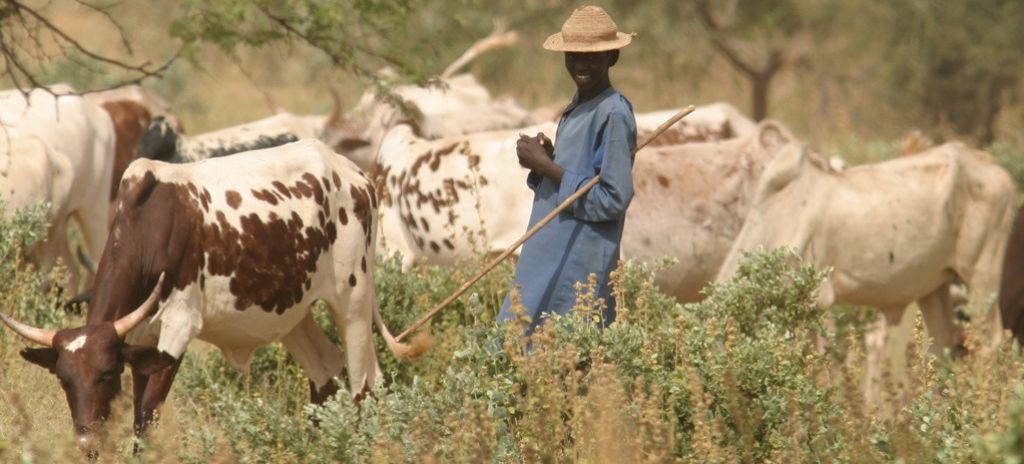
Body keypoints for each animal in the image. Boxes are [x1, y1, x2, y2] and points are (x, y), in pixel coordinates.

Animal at [0, 138, 423, 448]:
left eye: (105, 374)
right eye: (63, 379)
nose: (87, 444)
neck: (150, 227)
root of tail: (353, 173)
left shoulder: (178, 329)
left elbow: (146, 419)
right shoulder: (141, 340)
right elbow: (137, 415)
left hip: (353, 302)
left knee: (363, 386)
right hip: (292, 313)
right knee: (326, 371)